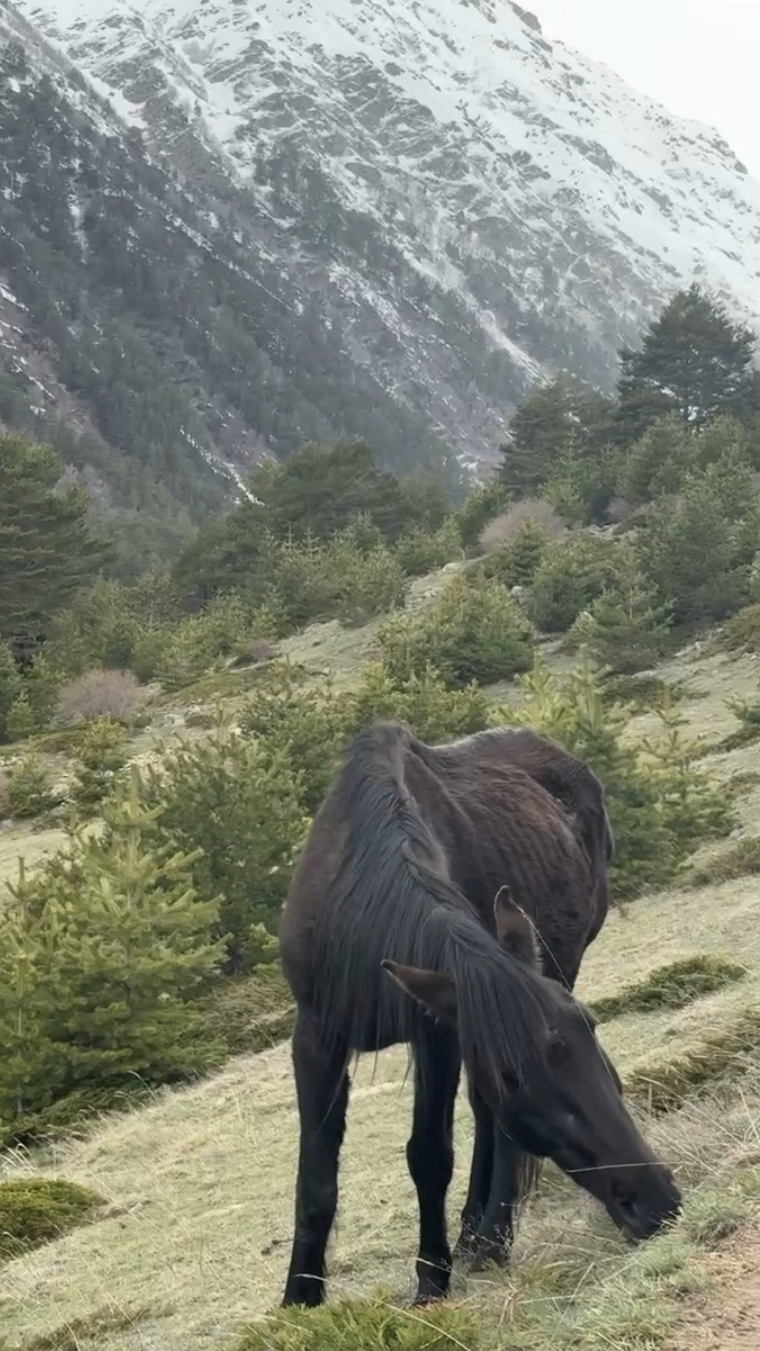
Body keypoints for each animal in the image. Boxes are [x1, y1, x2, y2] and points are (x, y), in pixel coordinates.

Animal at [278, 721, 681, 1308]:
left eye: (593, 1033)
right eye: (512, 1076)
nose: (657, 1200)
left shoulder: (438, 1036)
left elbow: (430, 1155)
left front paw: (431, 1280)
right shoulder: (316, 1035)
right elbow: (315, 1176)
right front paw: (300, 1300)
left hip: (560, 964)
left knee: (492, 1127)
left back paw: (488, 1238)